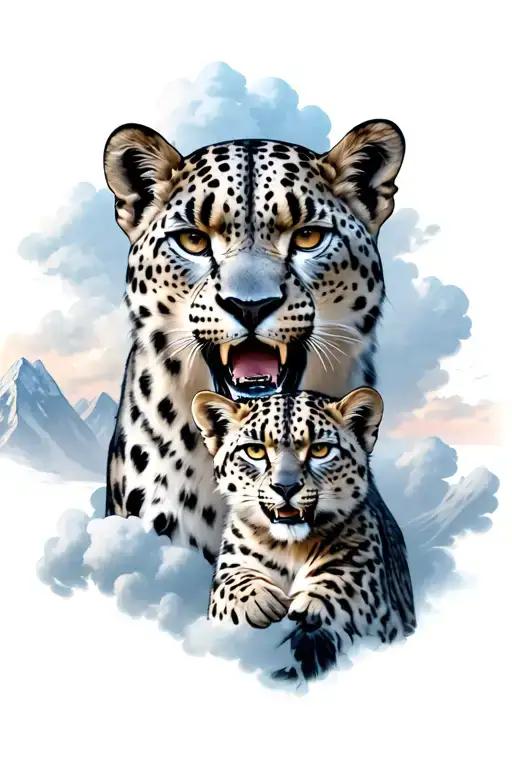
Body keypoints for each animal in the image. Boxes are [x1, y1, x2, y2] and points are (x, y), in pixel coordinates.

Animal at [191, 386, 416, 681]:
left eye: (320, 450)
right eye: (254, 450)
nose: (285, 487)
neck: (290, 548)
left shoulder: (362, 575)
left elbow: (341, 586)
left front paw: (307, 609)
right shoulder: (232, 565)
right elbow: (229, 586)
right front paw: (259, 603)